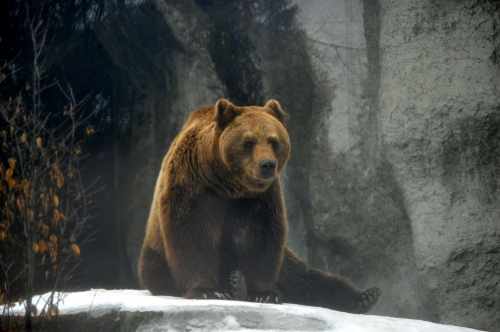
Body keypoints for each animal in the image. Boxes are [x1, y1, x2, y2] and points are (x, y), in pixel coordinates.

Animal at [137, 97, 378, 312]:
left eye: (273, 140)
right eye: (249, 141)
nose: (267, 164)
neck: (226, 182)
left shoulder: (260, 198)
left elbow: (262, 238)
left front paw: (264, 294)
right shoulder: (193, 185)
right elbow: (192, 234)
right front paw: (206, 290)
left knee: (303, 276)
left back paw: (366, 296)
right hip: (155, 254)